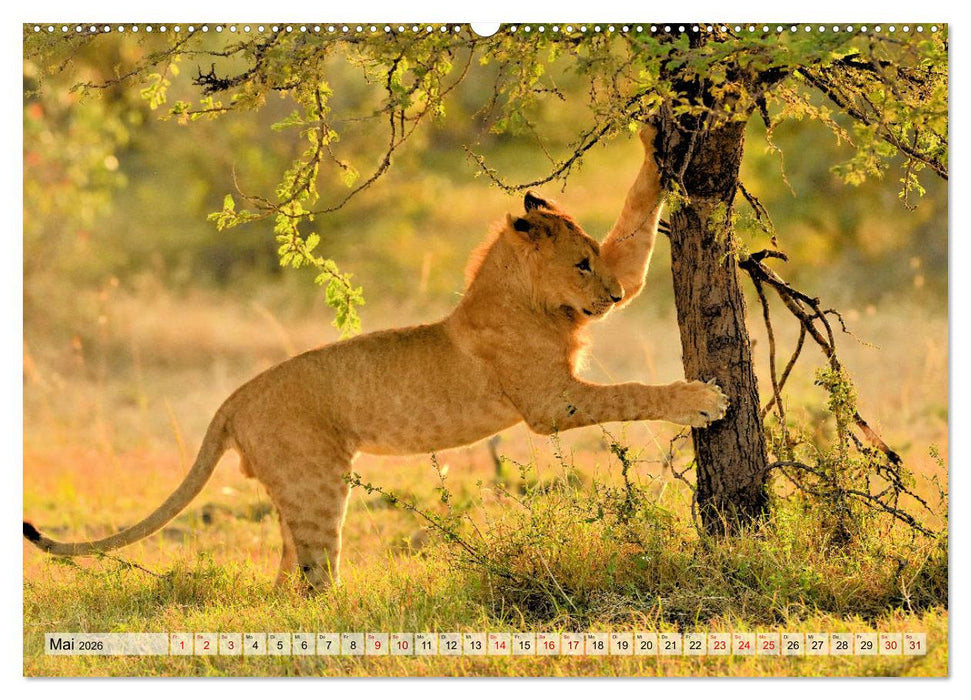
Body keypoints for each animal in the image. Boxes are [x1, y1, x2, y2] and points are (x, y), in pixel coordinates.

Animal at [23, 127, 727, 591]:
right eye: (581, 263)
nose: (611, 298)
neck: (525, 298)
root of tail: (233, 399)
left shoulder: (610, 294)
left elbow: (636, 224)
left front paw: (655, 143)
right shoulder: (552, 405)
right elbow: (629, 392)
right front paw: (702, 400)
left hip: (292, 486)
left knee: (287, 574)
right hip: (317, 480)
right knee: (313, 577)